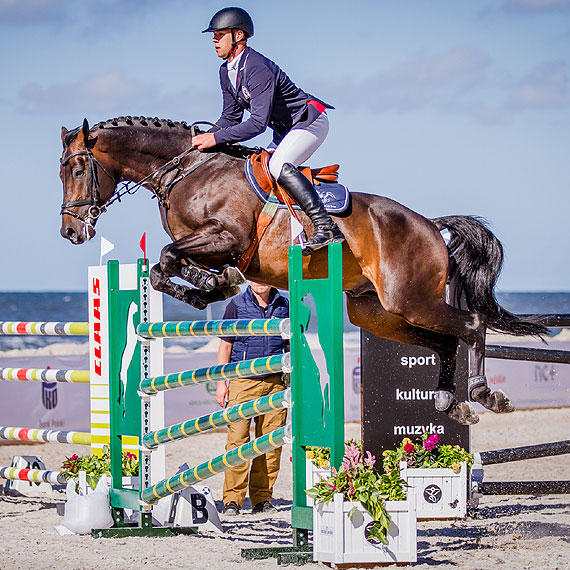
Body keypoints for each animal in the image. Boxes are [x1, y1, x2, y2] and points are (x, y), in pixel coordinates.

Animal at [58, 116, 544, 426]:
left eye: (79, 168)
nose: (71, 231)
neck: (187, 172)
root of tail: (429, 225)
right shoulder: (209, 247)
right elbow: (165, 268)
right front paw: (210, 287)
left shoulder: (225, 238)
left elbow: (166, 258)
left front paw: (214, 285)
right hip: (377, 312)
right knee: (443, 341)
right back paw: (450, 402)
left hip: (410, 299)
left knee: (471, 324)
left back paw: (483, 393)